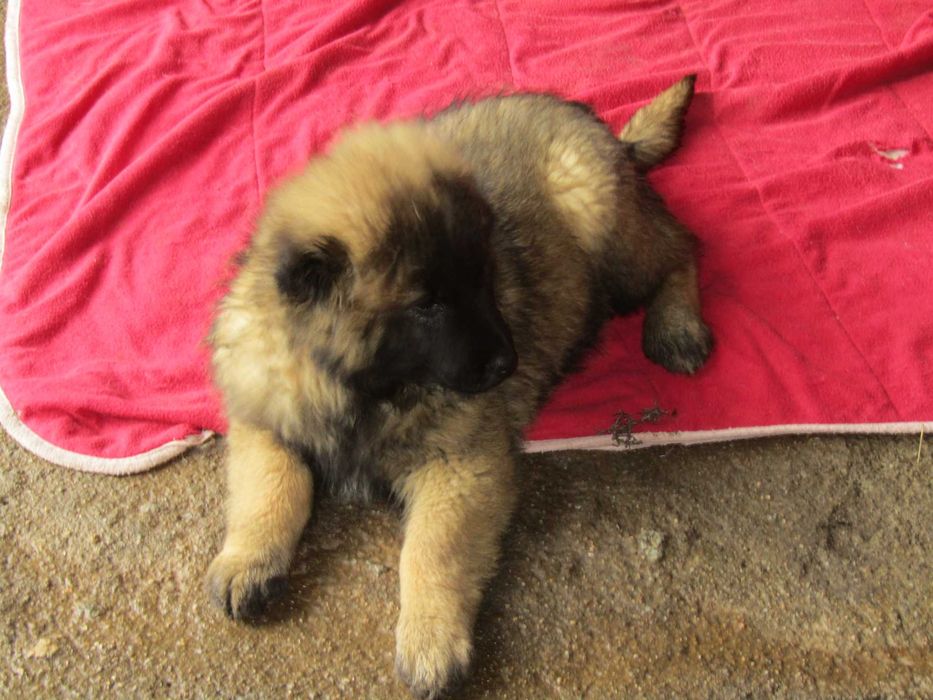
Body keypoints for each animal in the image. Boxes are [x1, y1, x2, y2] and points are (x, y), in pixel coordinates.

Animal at [206, 75, 711, 698]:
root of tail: (610, 136)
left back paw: (678, 327)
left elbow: (432, 549)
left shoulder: (462, 466)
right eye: (427, 305)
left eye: (484, 278)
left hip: (600, 216)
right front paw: (246, 561)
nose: (507, 364)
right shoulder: (264, 417)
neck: (366, 388)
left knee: (682, 247)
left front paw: (430, 640)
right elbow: (270, 487)